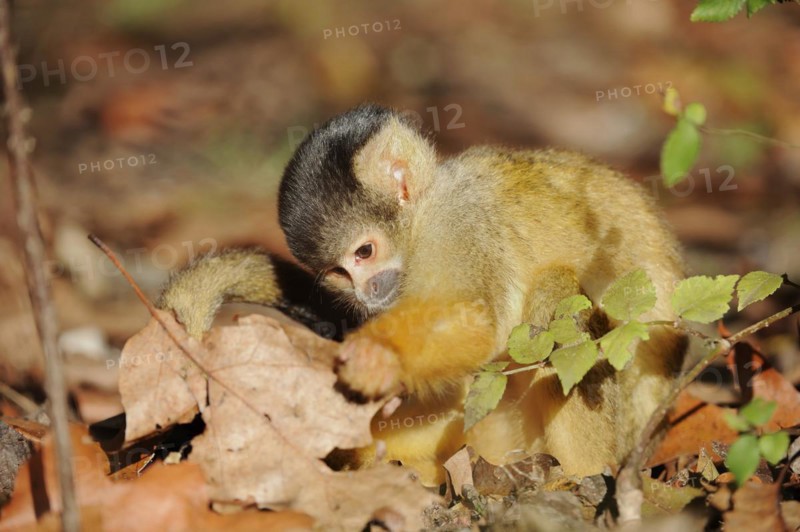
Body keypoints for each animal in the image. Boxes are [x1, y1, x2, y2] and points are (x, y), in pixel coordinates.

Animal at [157, 104, 687, 486]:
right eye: (339, 272)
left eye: (366, 252)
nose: (368, 292)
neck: (423, 214)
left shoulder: (458, 225)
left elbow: (474, 318)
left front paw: (377, 354)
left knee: (555, 294)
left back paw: (583, 476)